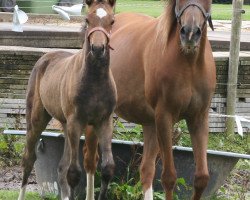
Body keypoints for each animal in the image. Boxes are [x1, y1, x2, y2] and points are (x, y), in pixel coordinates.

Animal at [17, 0, 117, 199]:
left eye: (112, 21)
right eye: (87, 19)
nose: (98, 48)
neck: (95, 81)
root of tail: (45, 57)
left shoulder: (104, 121)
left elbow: (107, 168)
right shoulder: (76, 122)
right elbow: (74, 173)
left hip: (65, 124)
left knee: (61, 166)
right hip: (37, 119)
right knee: (29, 158)